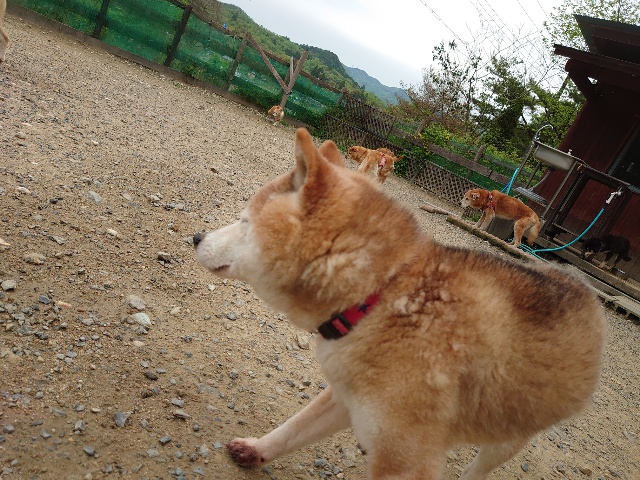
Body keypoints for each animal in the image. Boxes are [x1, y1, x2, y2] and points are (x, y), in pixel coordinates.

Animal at [194, 128, 605, 479]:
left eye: (244, 221)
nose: (196, 237)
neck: (383, 294)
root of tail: (580, 285)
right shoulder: (348, 397)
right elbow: (294, 428)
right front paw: (256, 449)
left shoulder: (405, 460)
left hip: (512, 432)